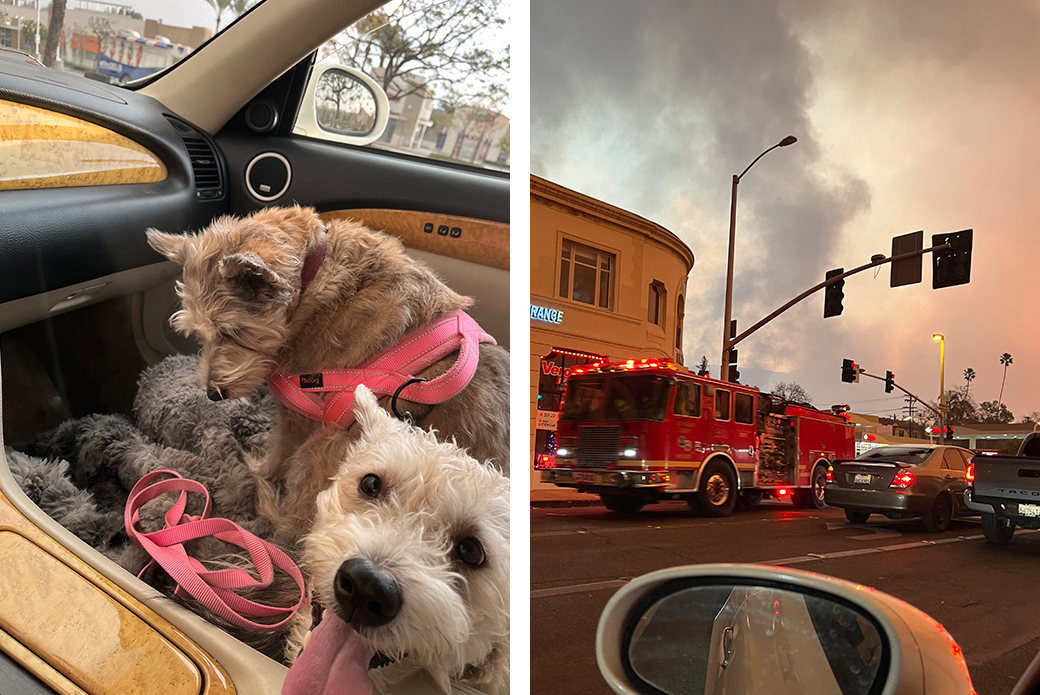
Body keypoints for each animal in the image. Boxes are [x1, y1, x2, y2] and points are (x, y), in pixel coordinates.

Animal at [147, 206, 511, 532]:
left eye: (231, 332)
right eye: (199, 333)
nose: (213, 393)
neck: (312, 273)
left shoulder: (297, 415)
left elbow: (277, 453)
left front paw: (261, 469)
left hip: (319, 449)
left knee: (291, 525)